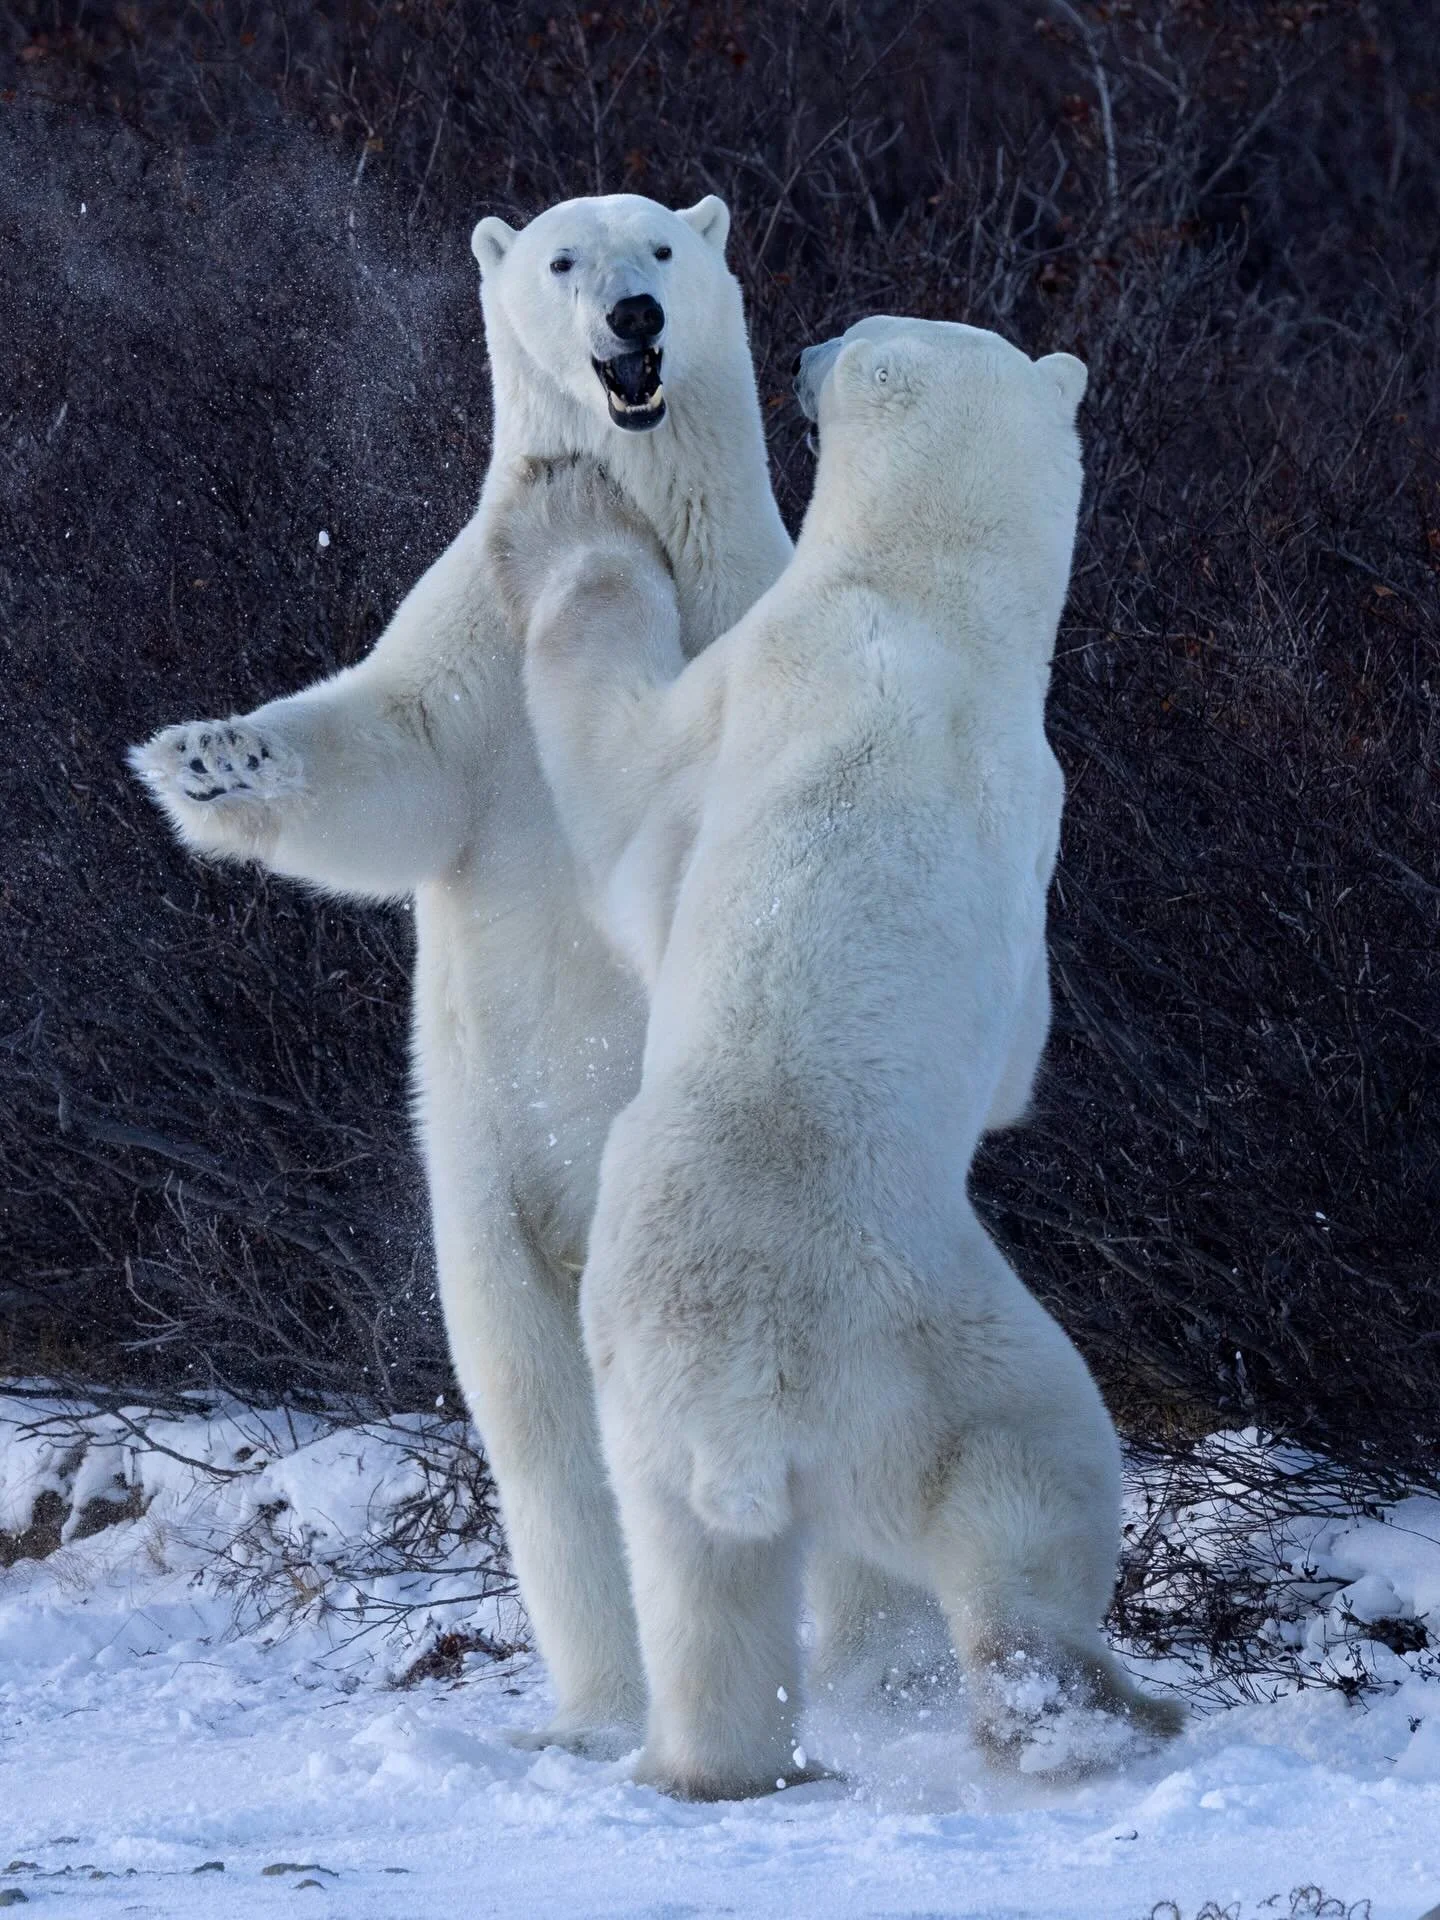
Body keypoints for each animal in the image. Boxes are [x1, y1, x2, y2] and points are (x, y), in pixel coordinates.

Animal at [128, 194, 936, 1753]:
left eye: (665, 251)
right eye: (564, 259)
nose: (633, 316)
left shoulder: (747, 622)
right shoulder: (471, 656)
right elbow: (385, 761)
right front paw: (208, 757)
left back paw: (865, 1679)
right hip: (492, 1197)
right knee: (544, 1431)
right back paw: (601, 1707)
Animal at [488, 316, 1184, 1799]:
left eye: (859, 331)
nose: (807, 344)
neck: (923, 614)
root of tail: (756, 1412)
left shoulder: (767, 683)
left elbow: (624, 784)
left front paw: (571, 513)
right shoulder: (1012, 781)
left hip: (893, 1363)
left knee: (1001, 1492)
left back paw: (1046, 1707)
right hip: (707, 1389)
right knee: (730, 1580)